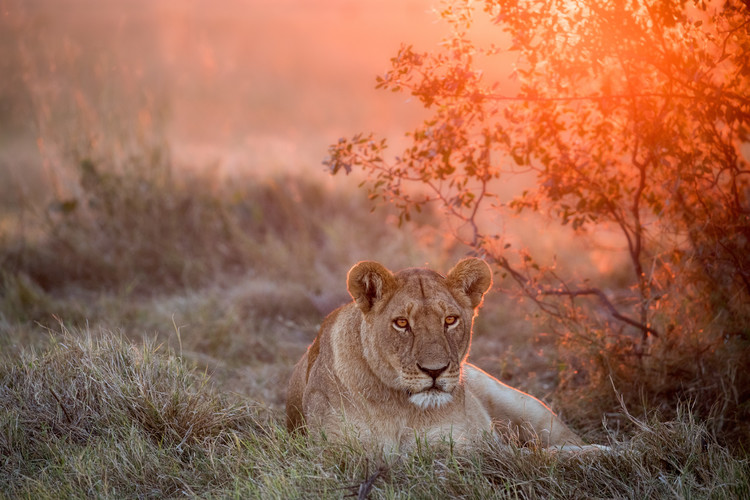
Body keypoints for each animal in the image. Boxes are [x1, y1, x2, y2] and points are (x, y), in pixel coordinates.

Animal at [286, 258, 592, 451]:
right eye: (401, 323)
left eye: (450, 320)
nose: (434, 371)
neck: (401, 408)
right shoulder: (339, 452)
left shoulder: (460, 445)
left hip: (525, 407)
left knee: (567, 443)